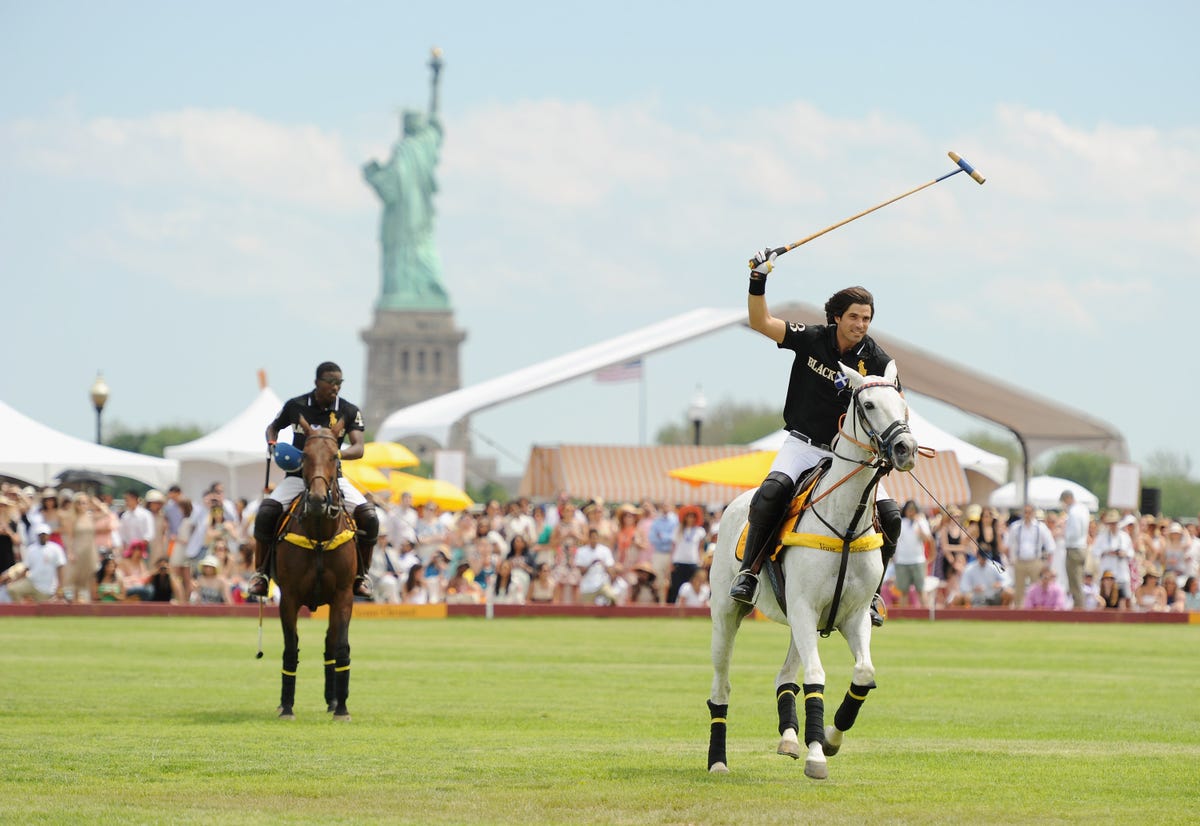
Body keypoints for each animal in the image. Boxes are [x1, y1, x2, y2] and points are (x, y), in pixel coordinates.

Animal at [274, 415, 355, 720]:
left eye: (335, 456)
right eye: (305, 456)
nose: (319, 500)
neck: (319, 532)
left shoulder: (343, 595)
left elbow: (340, 646)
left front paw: (342, 708)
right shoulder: (288, 597)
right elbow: (290, 648)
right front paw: (286, 706)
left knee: (330, 644)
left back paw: (333, 700)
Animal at [700, 360, 916, 782]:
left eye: (903, 404)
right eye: (867, 404)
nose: (906, 449)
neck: (845, 523)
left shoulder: (849, 615)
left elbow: (864, 673)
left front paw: (831, 738)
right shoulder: (803, 607)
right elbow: (816, 676)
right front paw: (817, 756)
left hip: (801, 621)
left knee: (785, 675)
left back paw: (788, 738)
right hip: (727, 614)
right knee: (721, 686)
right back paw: (718, 760)